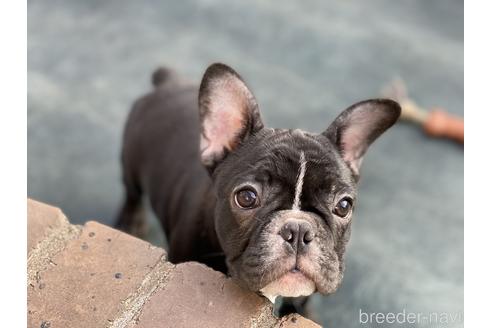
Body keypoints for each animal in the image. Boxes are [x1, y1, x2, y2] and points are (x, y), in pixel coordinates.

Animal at [117, 63, 402, 312]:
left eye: (343, 206)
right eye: (246, 197)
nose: (298, 230)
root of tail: (169, 81)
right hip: (131, 162)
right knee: (132, 193)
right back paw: (131, 222)